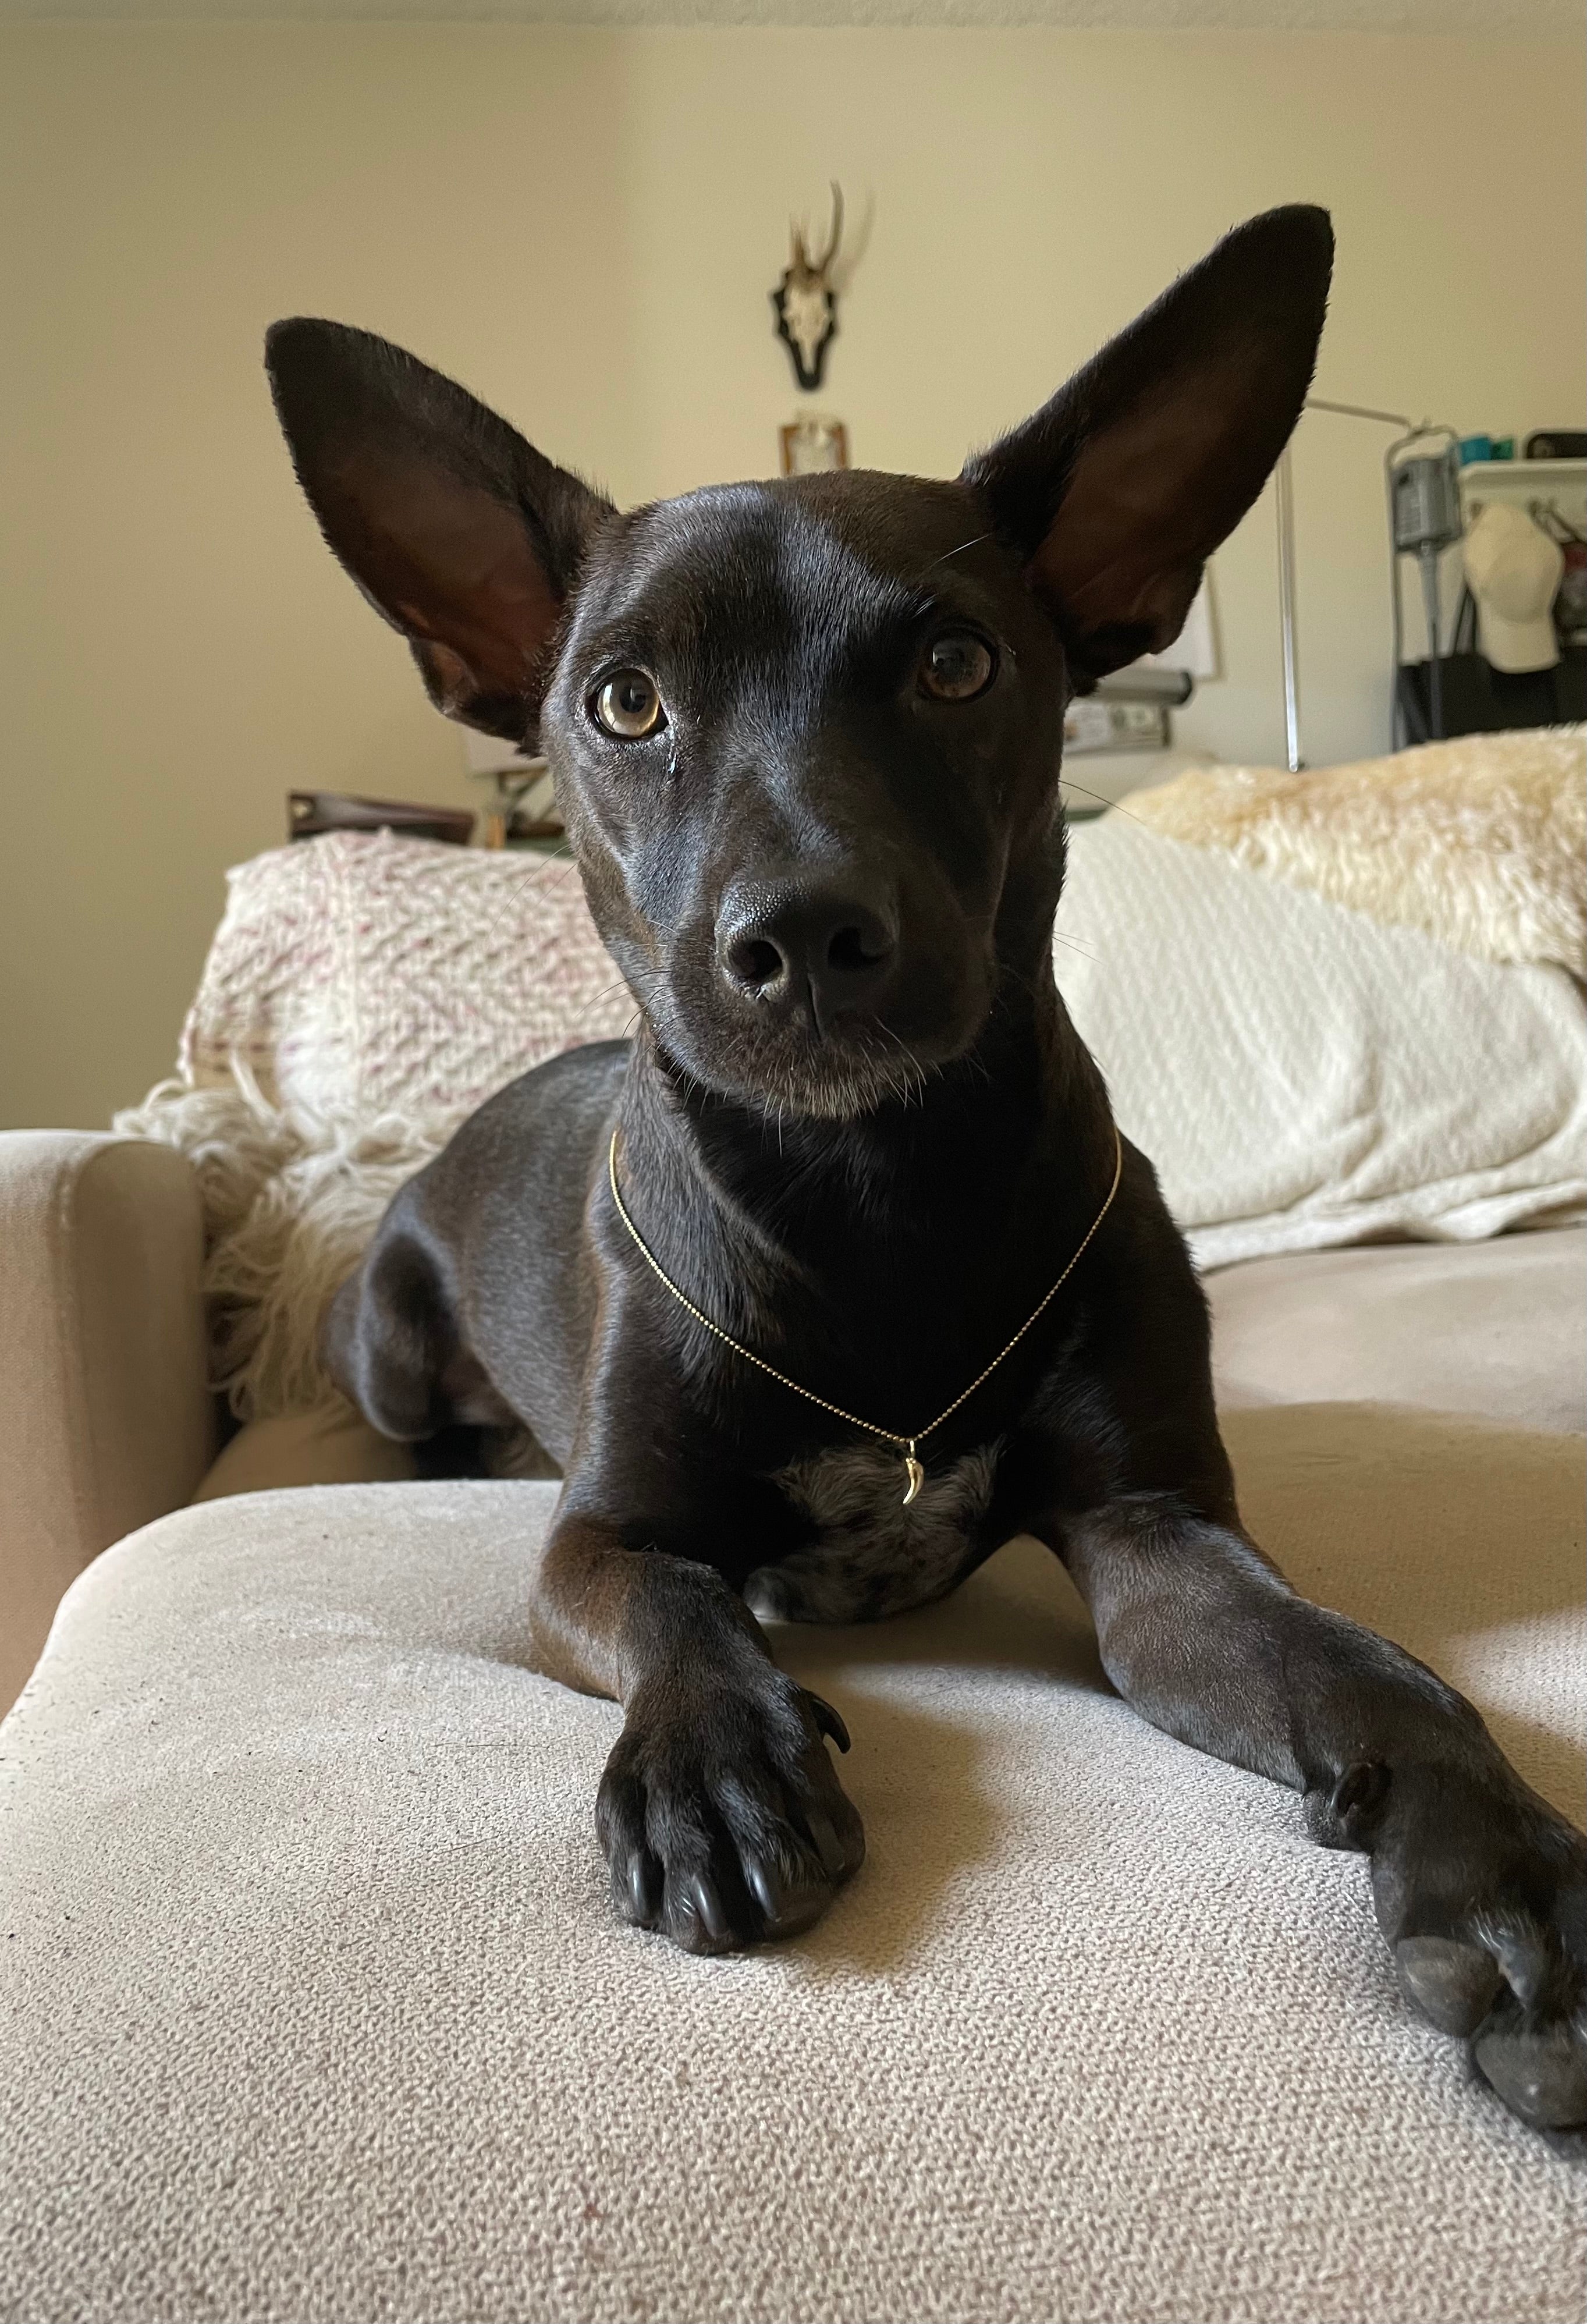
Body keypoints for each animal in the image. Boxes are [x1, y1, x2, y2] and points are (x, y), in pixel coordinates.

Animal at [267, 209, 1580, 2128]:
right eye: (624, 699)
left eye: (956, 664)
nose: (803, 937)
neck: (869, 1198)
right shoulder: (600, 1539)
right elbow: (672, 1599)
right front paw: (714, 1766)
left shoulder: (1155, 1534)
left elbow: (1372, 1667)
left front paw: (1496, 1874)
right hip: (383, 1336)